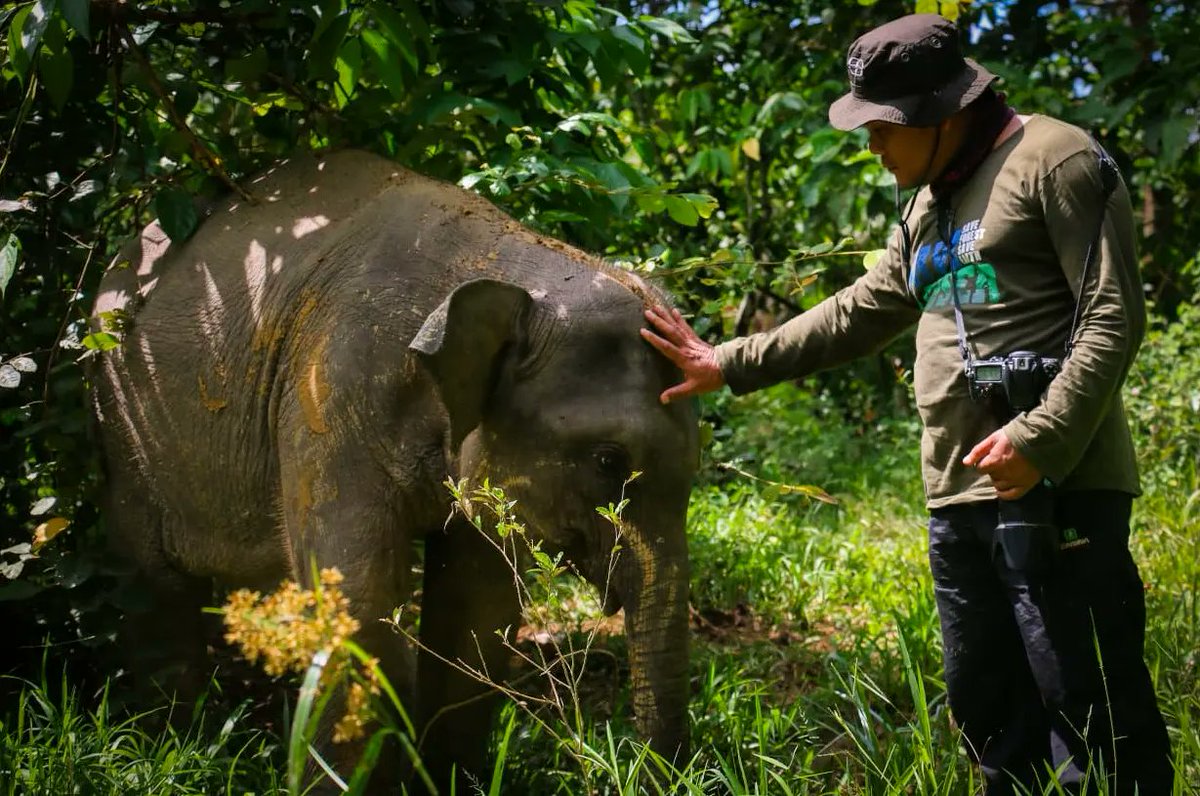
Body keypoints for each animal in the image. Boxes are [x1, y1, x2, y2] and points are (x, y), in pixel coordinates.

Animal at [89, 149, 700, 789]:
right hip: (119, 414)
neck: (504, 266)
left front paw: (452, 781)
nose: (649, 769)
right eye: (609, 462)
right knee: (153, 581)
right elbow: (357, 603)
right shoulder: (327, 396)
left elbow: (475, 611)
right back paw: (170, 746)